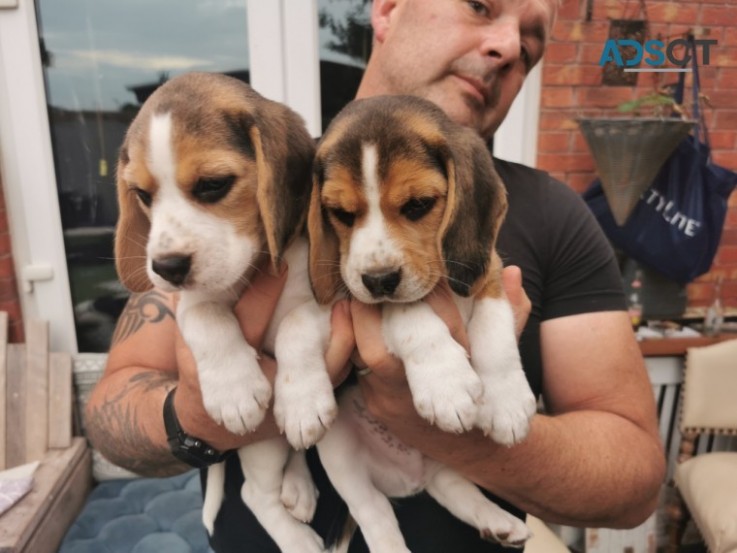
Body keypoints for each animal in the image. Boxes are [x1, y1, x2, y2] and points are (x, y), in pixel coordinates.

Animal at [115, 73, 334, 552]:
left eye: (213, 184)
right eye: (142, 195)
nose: (166, 268)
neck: (253, 267)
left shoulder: (328, 299)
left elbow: (297, 325)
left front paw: (302, 403)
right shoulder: (190, 304)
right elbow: (208, 319)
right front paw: (235, 390)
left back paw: (300, 486)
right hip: (259, 441)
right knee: (254, 495)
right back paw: (298, 536)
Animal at [284, 95, 536, 552]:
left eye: (418, 205)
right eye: (341, 214)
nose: (379, 280)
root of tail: (408, 477)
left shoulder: (487, 274)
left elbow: (495, 335)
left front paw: (506, 403)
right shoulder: (360, 297)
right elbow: (410, 312)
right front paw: (445, 382)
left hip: (444, 454)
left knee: (450, 483)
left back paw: (499, 521)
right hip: (340, 453)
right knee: (376, 512)